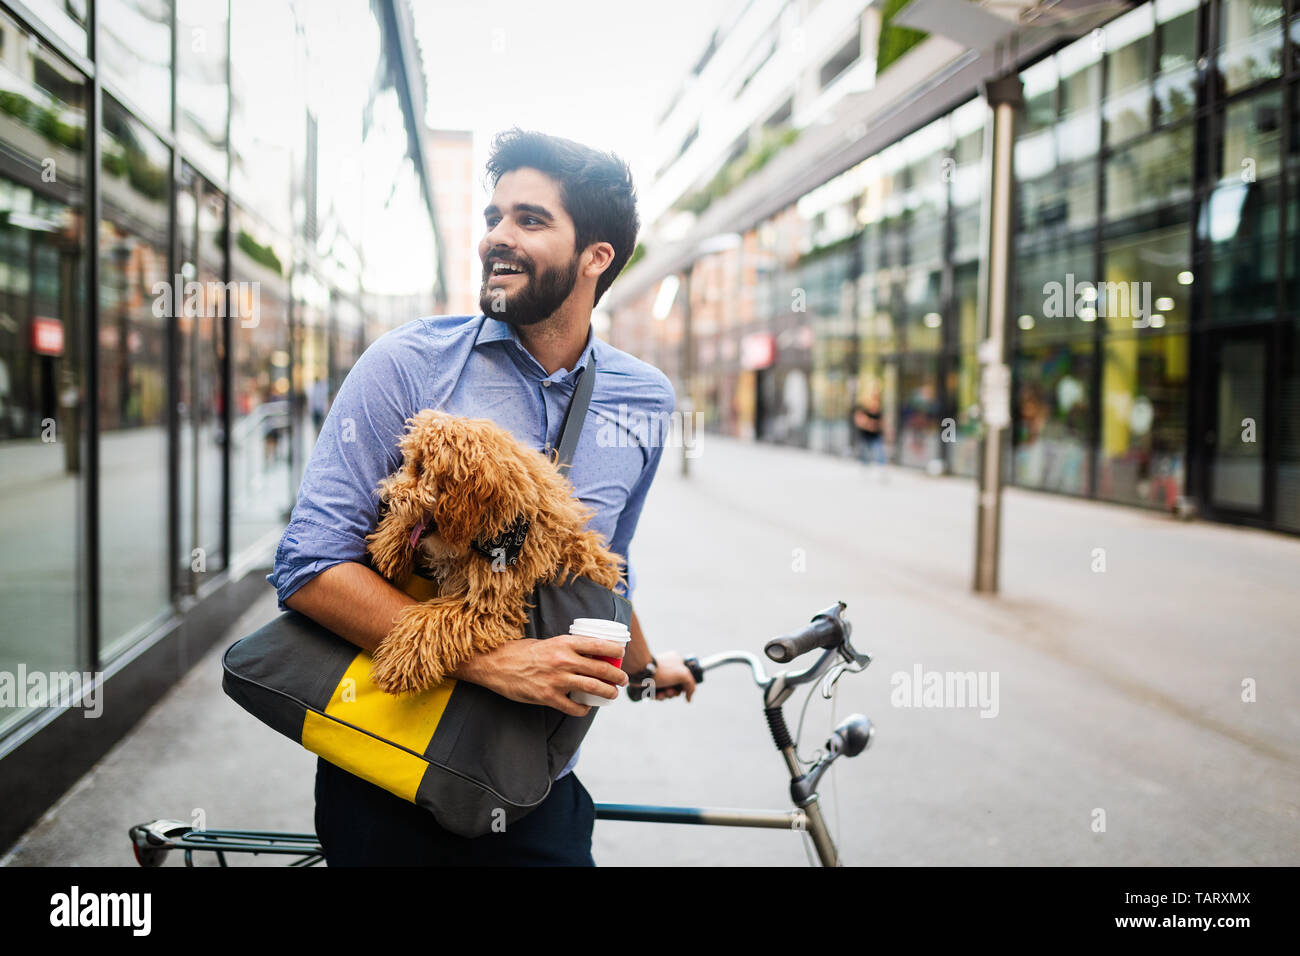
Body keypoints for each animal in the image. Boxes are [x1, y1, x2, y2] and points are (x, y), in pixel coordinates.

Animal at [361, 408, 624, 697]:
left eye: (421, 468)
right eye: (407, 462)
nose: (385, 499)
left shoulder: (490, 606)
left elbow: (433, 619)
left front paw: (399, 663)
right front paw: (389, 544)